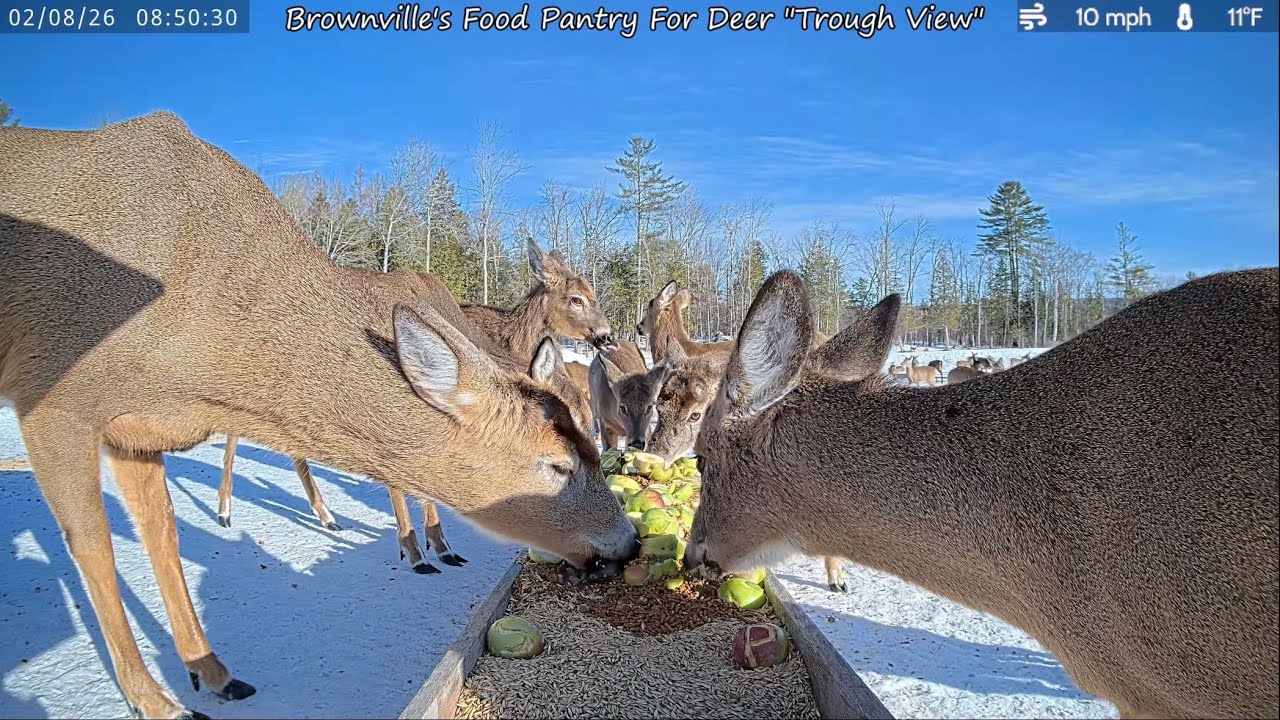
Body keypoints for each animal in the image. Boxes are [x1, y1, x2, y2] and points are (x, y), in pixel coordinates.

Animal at [0, 112, 637, 719]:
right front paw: (155, 701)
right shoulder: (56, 396)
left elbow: (163, 534)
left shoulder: (137, 431)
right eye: (558, 465)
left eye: (590, 436)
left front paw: (212, 672)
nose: (629, 542)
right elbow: (94, 546)